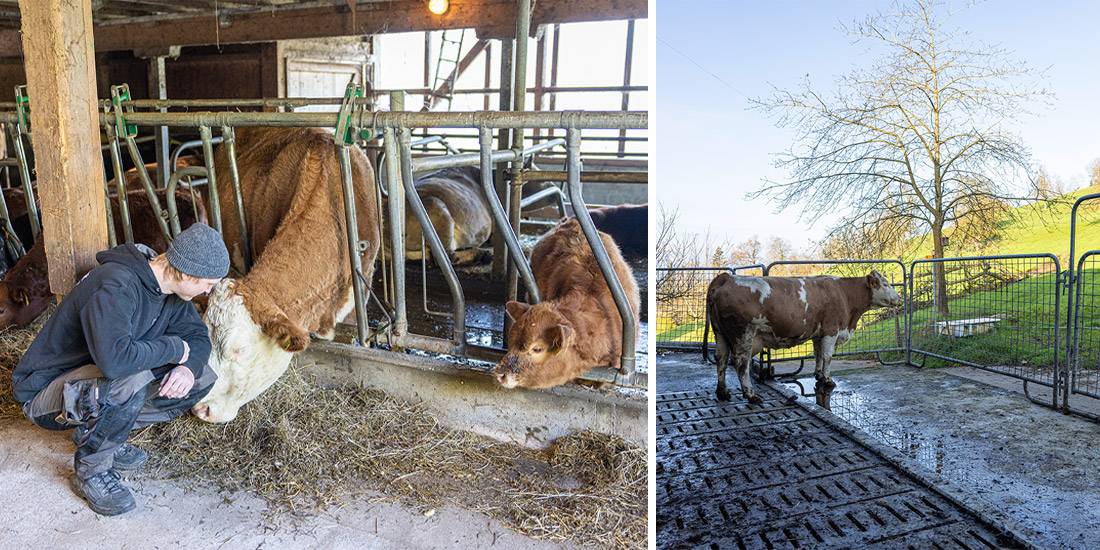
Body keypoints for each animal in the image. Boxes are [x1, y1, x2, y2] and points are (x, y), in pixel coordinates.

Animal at [704, 271, 902, 404]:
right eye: (885, 284)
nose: (899, 298)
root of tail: (726, 277)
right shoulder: (831, 330)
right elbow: (828, 356)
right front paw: (828, 380)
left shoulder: (818, 334)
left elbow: (818, 355)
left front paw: (819, 375)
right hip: (743, 334)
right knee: (741, 364)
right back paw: (751, 395)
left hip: (720, 334)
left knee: (721, 359)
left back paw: (722, 393)